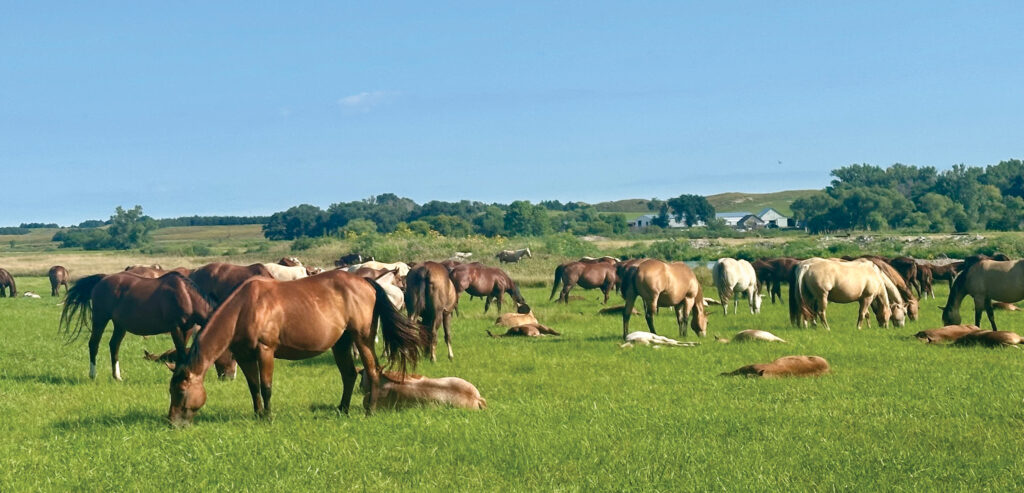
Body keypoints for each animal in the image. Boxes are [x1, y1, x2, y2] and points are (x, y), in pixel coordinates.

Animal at [59, 272, 221, 381]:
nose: (225, 377)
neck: (187, 296)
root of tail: (103, 279)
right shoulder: (175, 328)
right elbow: (181, 353)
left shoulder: (187, 328)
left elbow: (182, 352)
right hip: (100, 318)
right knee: (94, 344)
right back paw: (93, 375)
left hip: (120, 325)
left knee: (114, 345)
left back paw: (117, 376)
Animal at [167, 270, 424, 426]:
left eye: (180, 391)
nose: (171, 422)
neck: (244, 308)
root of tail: (367, 283)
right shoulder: (244, 356)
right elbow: (254, 387)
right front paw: (258, 415)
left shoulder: (265, 351)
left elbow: (266, 387)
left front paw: (268, 417)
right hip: (341, 343)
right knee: (349, 375)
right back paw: (342, 410)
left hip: (362, 339)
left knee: (372, 371)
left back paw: (369, 411)